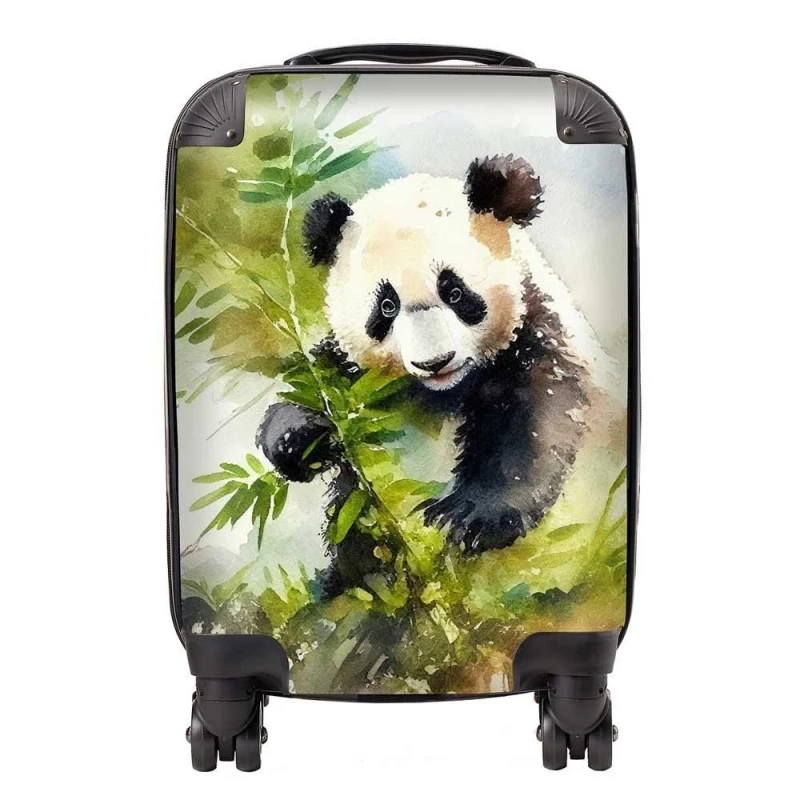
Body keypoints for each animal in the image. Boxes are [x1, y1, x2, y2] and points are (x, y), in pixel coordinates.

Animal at [257, 155, 623, 594]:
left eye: (455, 292)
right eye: (387, 306)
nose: (435, 361)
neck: (444, 391)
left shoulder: (540, 341)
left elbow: (537, 426)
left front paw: (467, 517)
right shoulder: (361, 383)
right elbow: (319, 388)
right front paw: (296, 435)